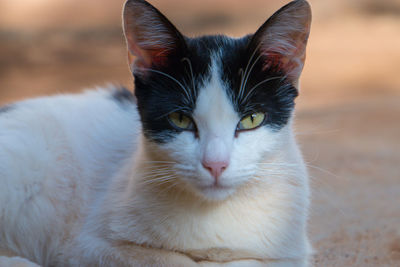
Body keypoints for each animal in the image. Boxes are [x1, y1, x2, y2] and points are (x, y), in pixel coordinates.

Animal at [0, 0, 312, 266]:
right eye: (180, 119)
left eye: (251, 119)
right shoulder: (87, 246)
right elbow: (171, 260)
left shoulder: (292, 253)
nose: (215, 164)